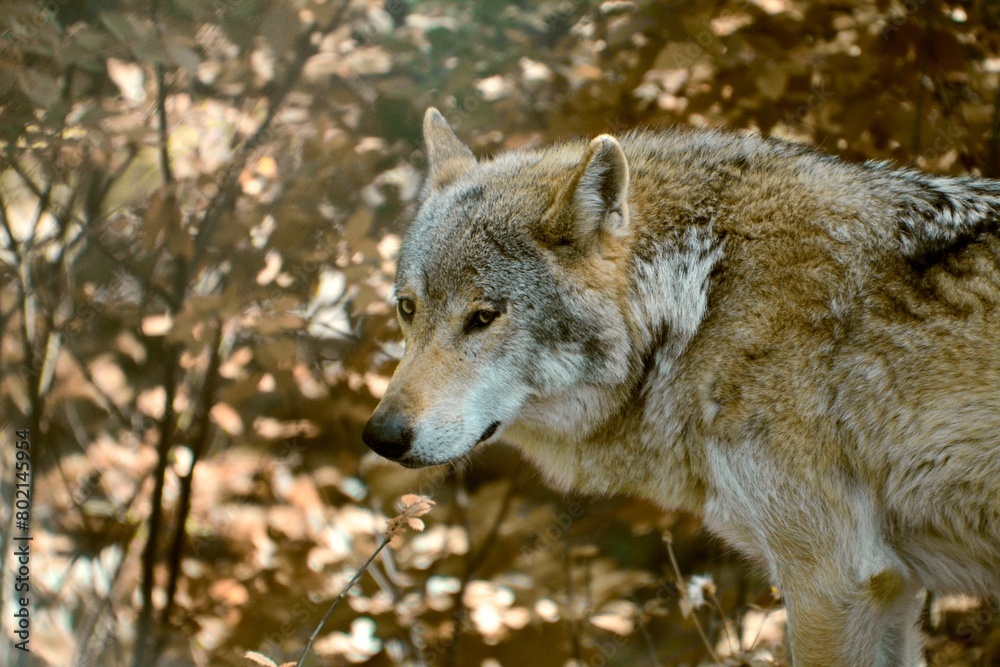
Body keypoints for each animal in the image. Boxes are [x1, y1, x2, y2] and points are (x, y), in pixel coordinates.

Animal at [366, 108, 1000, 664]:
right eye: (407, 308)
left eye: (483, 317)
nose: (381, 436)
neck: (702, 298)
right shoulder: (890, 587)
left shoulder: (834, 581)